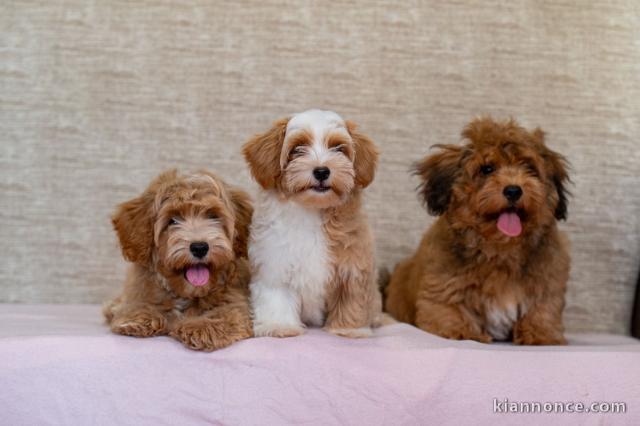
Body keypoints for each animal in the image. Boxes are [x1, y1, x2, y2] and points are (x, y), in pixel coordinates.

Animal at [104, 168, 254, 352]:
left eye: (213, 216)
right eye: (172, 220)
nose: (199, 247)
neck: (187, 293)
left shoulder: (236, 300)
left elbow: (229, 313)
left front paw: (202, 326)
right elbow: (137, 304)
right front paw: (138, 316)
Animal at [242, 110, 382, 340]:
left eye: (338, 148)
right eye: (297, 149)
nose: (322, 171)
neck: (312, 210)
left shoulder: (353, 264)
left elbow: (352, 298)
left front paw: (349, 329)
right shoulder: (274, 262)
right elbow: (276, 297)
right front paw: (280, 326)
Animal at [384, 118, 568, 344]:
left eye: (529, 167)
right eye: (487, 169)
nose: (513, 190)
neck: (500, 250)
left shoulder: (547, 284)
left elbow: (542, 309)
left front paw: (540, 334)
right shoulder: (444, 285)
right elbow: (447, 309)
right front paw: (461, 332)